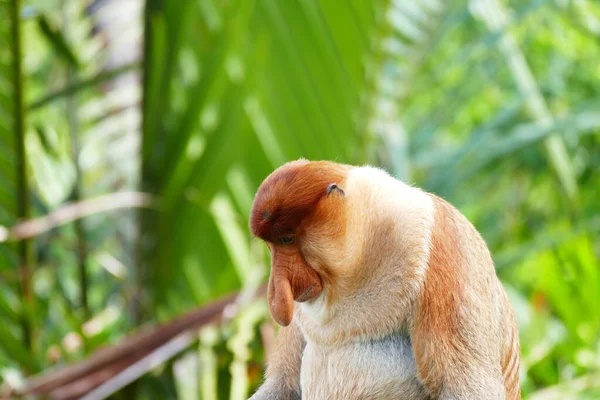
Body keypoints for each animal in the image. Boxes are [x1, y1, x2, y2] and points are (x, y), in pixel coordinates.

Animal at [248, 159, 520, 400]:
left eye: (287, 239)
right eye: (272, 245)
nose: (275, 295)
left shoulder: (445, 244)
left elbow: (466, 388)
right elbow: (282, 383)